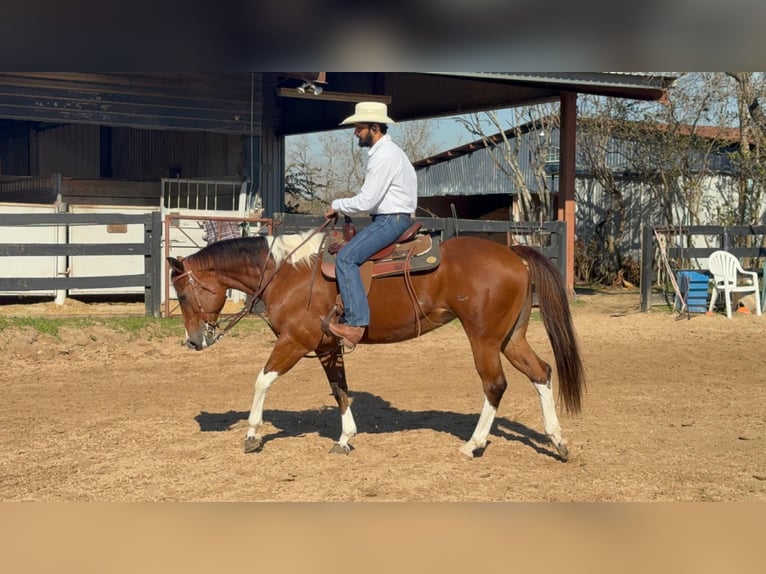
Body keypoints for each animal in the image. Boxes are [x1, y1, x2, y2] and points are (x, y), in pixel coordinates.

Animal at [167, 228, 585, 460]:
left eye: (183, 296)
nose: (193, 342)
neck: (285, 273)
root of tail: (513, 253)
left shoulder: (296, 341)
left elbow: (262, 381)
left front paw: (252, 435)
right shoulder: (327, 347)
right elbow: (340, 390)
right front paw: (345, 438)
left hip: (482, 337)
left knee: (494, 385)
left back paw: (474, 444)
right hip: (510, 337)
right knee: (541, 373)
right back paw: (558, 441)